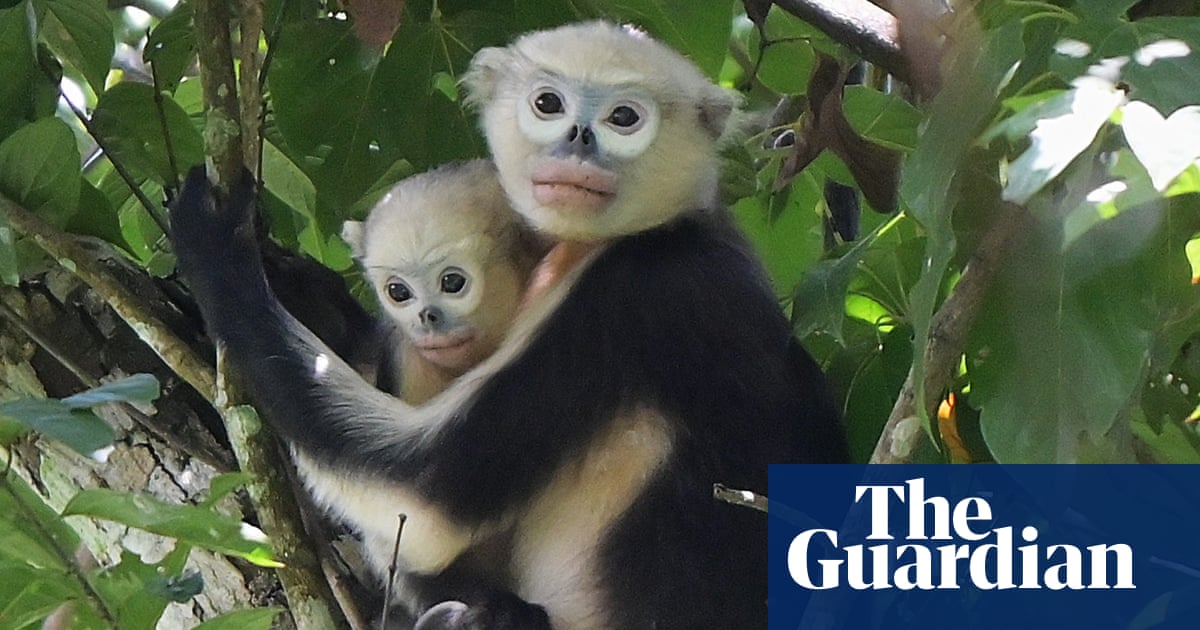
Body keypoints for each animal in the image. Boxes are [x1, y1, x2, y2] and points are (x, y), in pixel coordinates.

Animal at [169, 21, 847, 630]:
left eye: (624, 118)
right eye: (548, 104)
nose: (577, 140)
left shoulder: (632, 300)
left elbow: (424, 501)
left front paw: (218, 250)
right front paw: (298, 284)